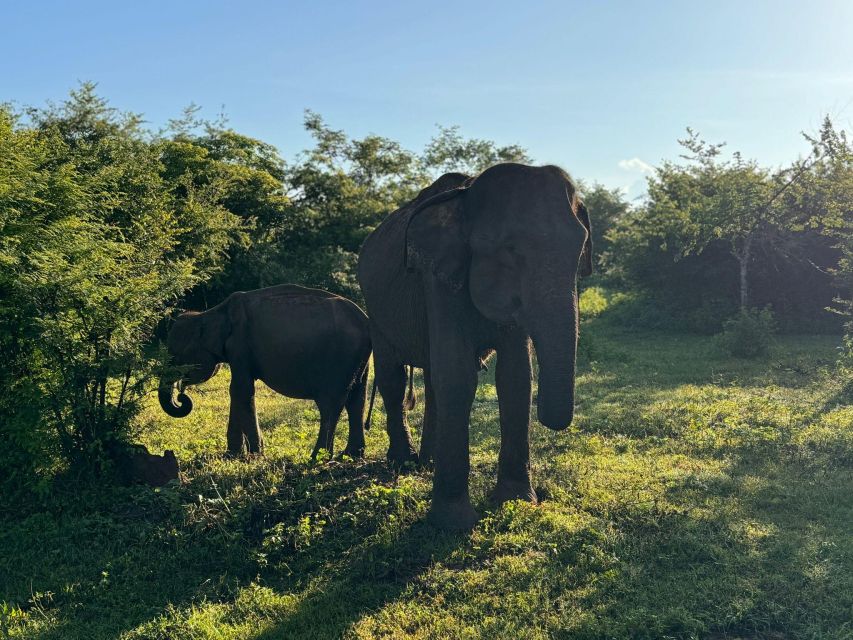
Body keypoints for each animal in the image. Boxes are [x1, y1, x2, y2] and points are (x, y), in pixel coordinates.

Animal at [158, 282, 372, 458]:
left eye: (176, 357)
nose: (181, 397)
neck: (210, 313)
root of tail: (365, 321)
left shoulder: (240, 346)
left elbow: (240, 390)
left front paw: (255, 454)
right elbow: (238, 391)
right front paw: (234, 454)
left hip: (339, 360)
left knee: (330, 404)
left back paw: (316, 457)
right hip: (360, 360)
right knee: (357, 400)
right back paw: (351, 454)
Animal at [356, 165, 588, 528]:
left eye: (581, 250)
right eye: (508, 250)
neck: (467, 194)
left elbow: (515, 378)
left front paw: (517, 502)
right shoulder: (437, 277)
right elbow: (457, 375)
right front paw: (453, 524)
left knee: (432, 379)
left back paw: (428, 462)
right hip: (376, 309)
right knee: (393, 377)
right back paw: (403, 463)